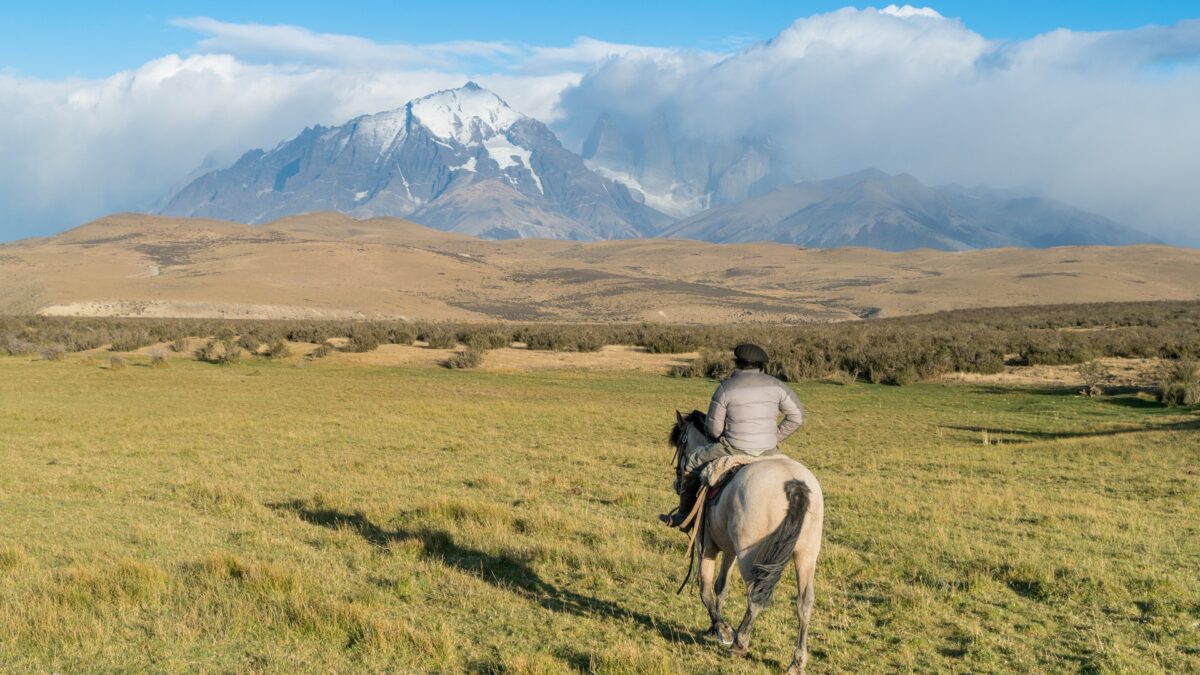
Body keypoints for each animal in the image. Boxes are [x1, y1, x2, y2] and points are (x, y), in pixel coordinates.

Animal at [669, 410, 824, 674]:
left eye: (681, 443)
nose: (678, 481)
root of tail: (794, 484)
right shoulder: (729, 550)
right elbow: (721, 587)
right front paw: (714, 628)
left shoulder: (706, 545)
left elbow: (705, 589)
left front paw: (722, 629)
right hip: (806, 554)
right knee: (805, 602)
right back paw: (797, 661)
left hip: (749, 555)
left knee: (755, 595)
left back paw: (740, 643)